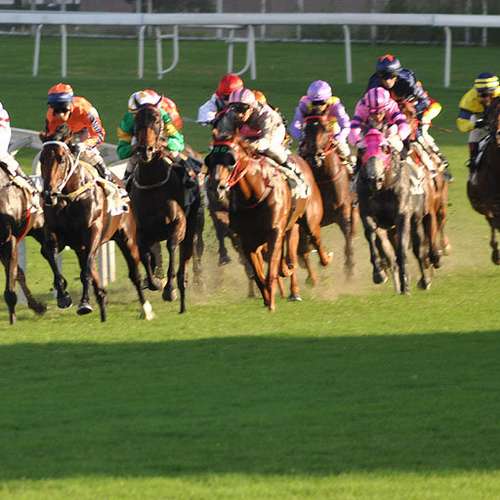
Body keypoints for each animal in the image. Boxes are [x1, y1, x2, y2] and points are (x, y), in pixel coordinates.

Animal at [39, 125, 154, 321]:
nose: (49, 194)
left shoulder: (93, 232)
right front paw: (63, 296)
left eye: (61, 159)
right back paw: (101, 302)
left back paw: (145, 307)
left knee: (135, 272)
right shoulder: (55, 234)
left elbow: (86, 270)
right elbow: (50, 257)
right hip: (81, 247)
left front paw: (84, 303)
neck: (70, 198)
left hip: (127, 236)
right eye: (41, 159)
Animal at [130, 103, 201, 313]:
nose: (146, 149)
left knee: (188, 250)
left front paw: (170, 289)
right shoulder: (141, 229)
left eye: (157, 120)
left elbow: (171, 246)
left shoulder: (178, 222)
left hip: (193, 222)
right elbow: (145, 255)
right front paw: (155, 282)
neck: (152, 182)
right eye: (136, 120)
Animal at [206, 112, 330, 310]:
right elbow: (258, 274)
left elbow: (271, 269)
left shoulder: (275, 232)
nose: (216, 187)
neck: (254, 195)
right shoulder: (247, 240)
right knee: (288, 259)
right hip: (290, 228)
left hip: (309, 219)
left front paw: (271, 302)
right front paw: (266, 297)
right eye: (209, 160)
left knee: (312, 243)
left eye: (231, 159)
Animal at [300, 113, 356, 281]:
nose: (315, 156)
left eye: (325, 128)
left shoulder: (343, 211)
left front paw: (349, 269)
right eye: (306, 128)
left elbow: (348, 237)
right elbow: (306, 246)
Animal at [357, 128, 431, 293]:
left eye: (385, 149)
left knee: (418, 249)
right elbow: (372, 237)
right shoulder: (367, 214)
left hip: (416, 218)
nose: (374, 179)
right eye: (362, 150)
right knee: (391, 253)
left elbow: (403, 249)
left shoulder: (402, 215)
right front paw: (379, 274)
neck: (383, 189)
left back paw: (424, 280)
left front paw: (407, 285)